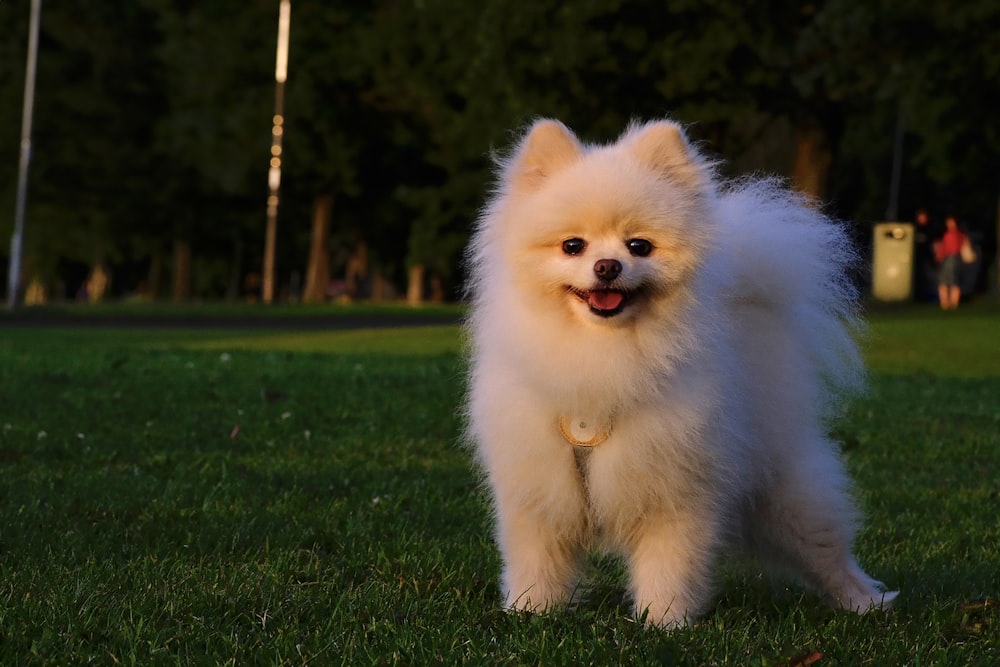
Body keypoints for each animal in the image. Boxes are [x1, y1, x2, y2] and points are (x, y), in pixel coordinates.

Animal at [464, 117, 896, 628]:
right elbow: (537, 559)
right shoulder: (537, 486)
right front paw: (532, 612)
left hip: (786, 491)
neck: (602, 353)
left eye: (639, 246)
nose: (607, 266)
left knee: (830, 551)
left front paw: (664, 621)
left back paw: (865, 602)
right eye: (573, 245)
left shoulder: (676, 488)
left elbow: (669, 563)